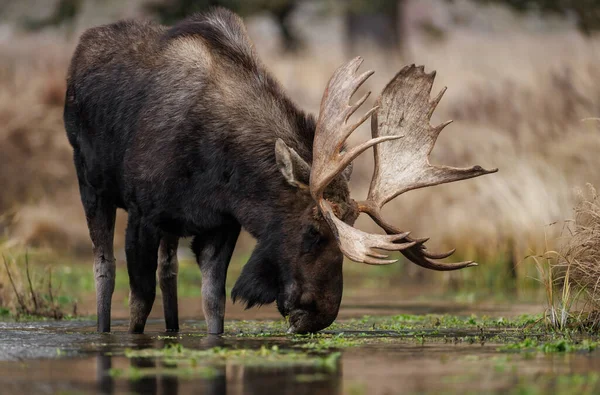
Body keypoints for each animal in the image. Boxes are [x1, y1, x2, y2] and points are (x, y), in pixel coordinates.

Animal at [64, 7, 496, 336]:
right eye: (312, 232)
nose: (320, 315)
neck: (219, 169)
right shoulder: (143, 215)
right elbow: (138, 304)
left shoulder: (219, 224)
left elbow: (212, 304)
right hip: (90, 184)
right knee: (104, 268)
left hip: (167, 226)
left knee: (168, 270)